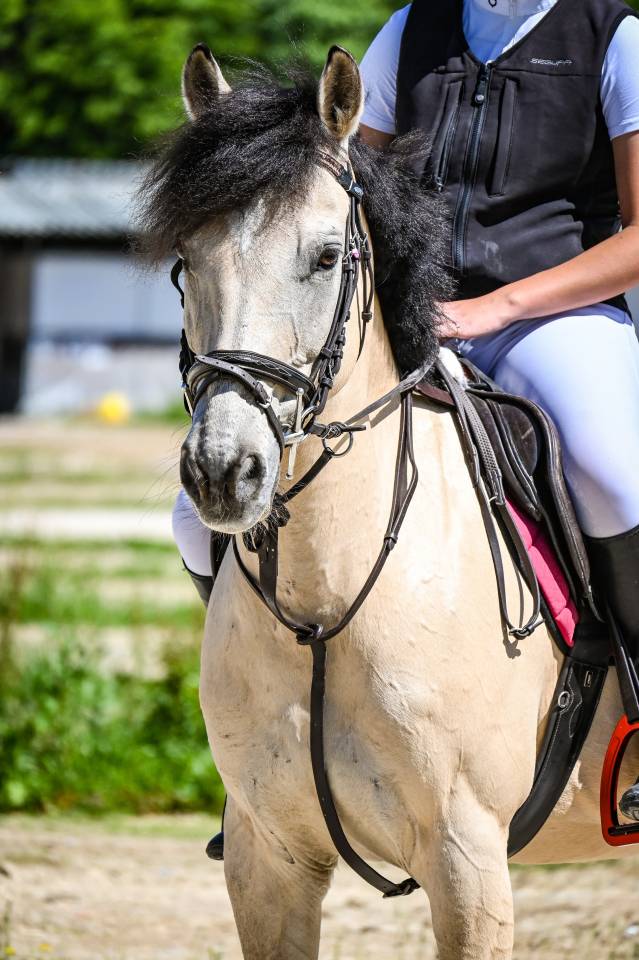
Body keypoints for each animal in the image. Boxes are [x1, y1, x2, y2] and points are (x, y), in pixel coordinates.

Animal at [138, 43, 639, 960]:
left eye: (326, 257)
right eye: (187, 259)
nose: (224, 472)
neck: (322, 598)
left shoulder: (466, 859)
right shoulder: (267, 859)